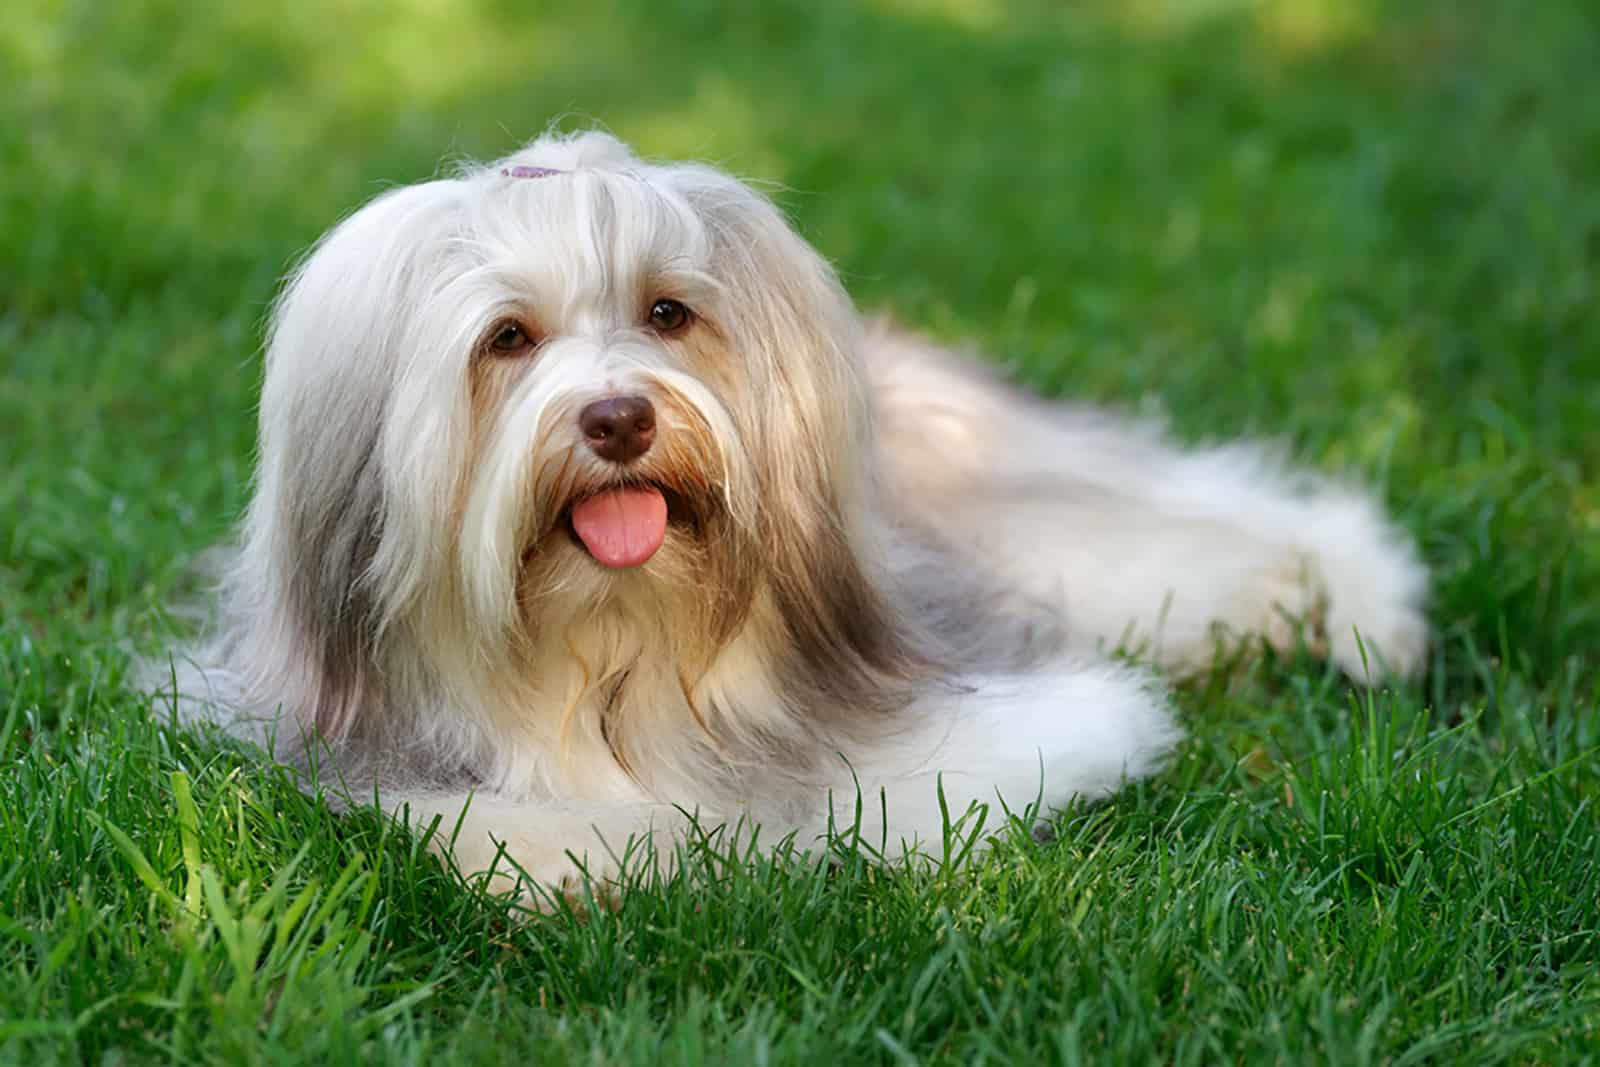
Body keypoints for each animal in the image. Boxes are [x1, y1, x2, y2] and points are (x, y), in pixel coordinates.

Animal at [156, 131, 1433, 902]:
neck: (614, 650)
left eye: (667, 312)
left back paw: (1358, 604)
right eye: (507, 338)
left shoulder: (998, 710)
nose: (618, 416)